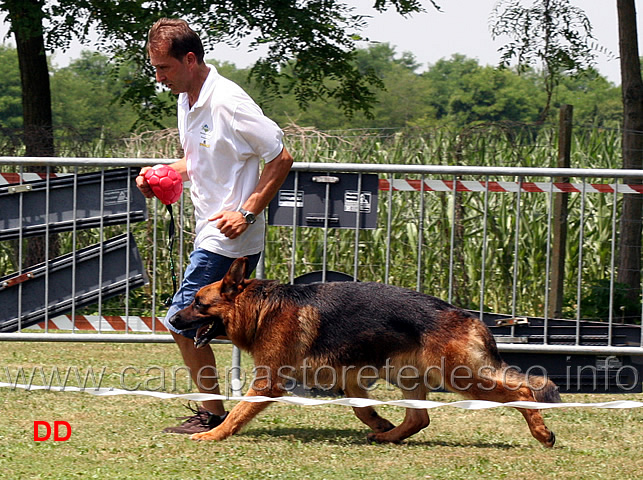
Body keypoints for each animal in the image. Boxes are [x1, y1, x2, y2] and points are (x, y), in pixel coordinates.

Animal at [170, 258, 560, 446]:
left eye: (198, 303)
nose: (171, 318)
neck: (263, 308)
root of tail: (469, 316)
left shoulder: (269, 382)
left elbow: (239, 412)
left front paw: (214, 434)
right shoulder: (349, 376)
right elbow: (360, 406)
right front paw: (379, 421)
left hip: (458, 378)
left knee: (523, 392)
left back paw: (542, 434)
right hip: (407, 375)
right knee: (420, 418)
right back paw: (387, 435)